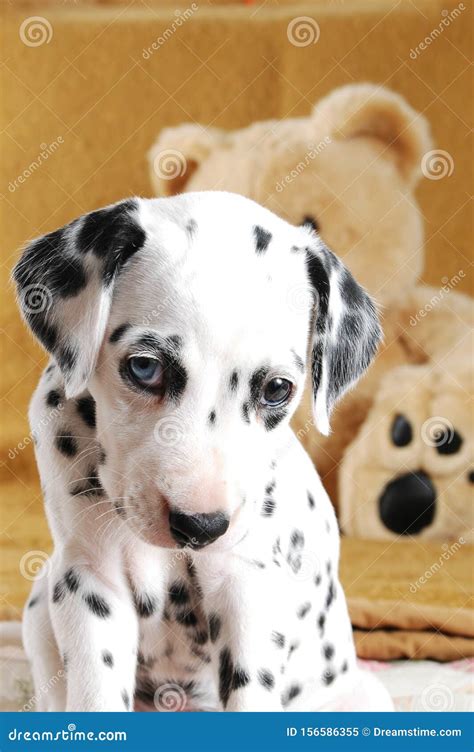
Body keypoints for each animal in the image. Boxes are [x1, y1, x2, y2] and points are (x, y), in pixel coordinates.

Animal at [15, 192, 392, 712]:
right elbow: (96, 693)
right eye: (145, 368)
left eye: (277, 388)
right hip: (39, 606)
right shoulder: (89, 578)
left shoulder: (246, 585)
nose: (200, 526)